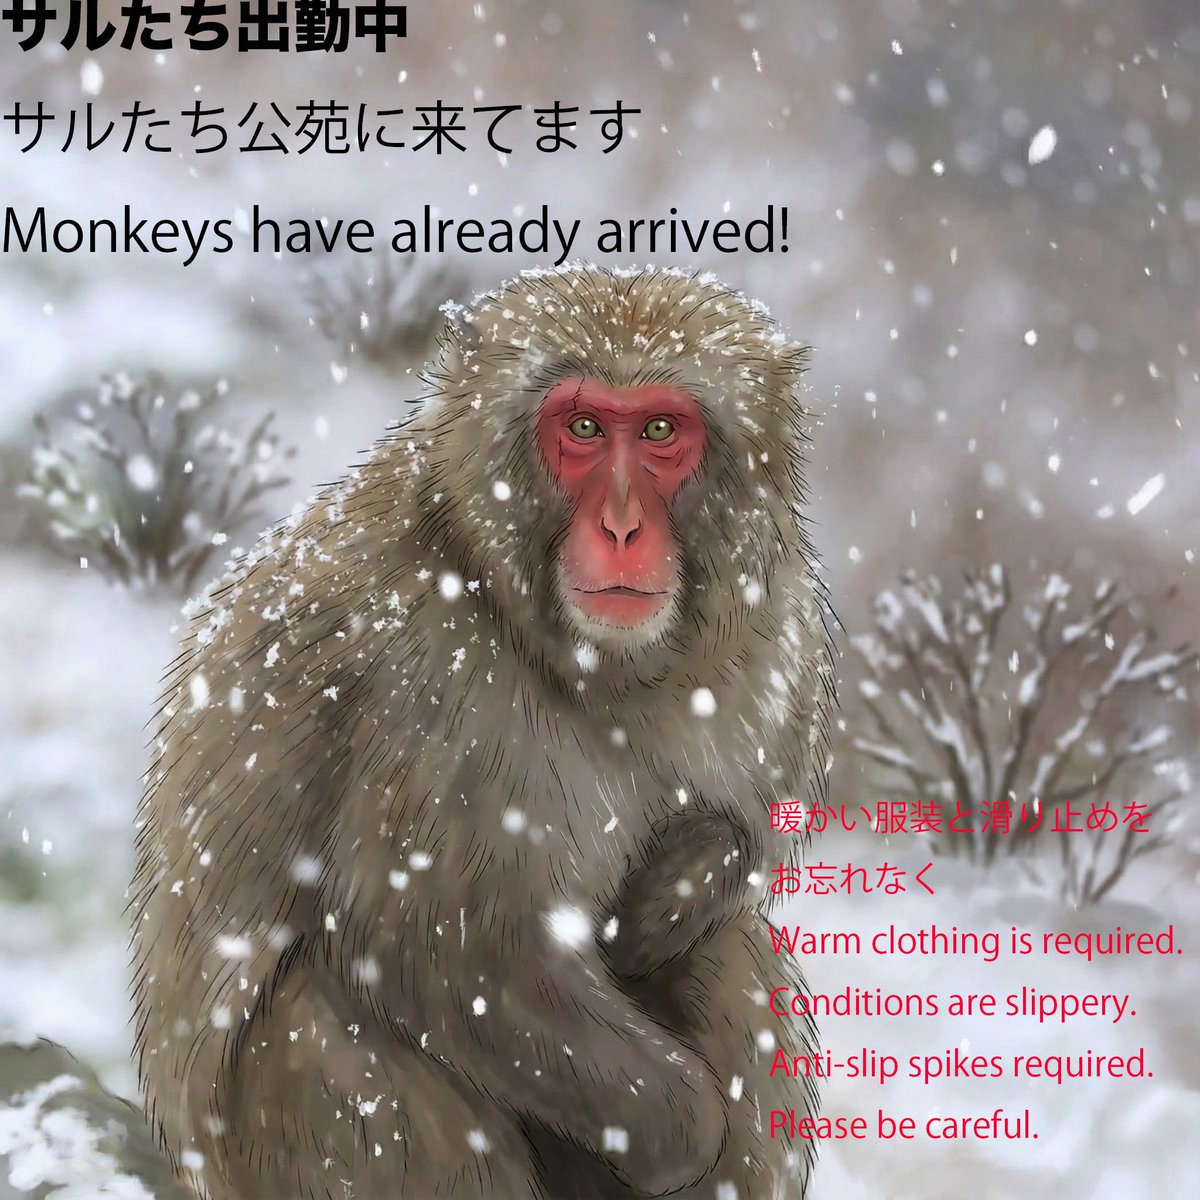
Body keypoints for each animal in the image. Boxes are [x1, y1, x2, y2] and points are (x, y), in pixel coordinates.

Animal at [131, 264, 835, 1200]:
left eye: (659, 430)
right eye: (581, 427)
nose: (621, 528)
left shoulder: (780, 630)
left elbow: (745, 850)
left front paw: (674, 886)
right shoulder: (434, 677)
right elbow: (445, 950)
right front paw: (681, 1130)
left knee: (732, 957)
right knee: (335, 1039)